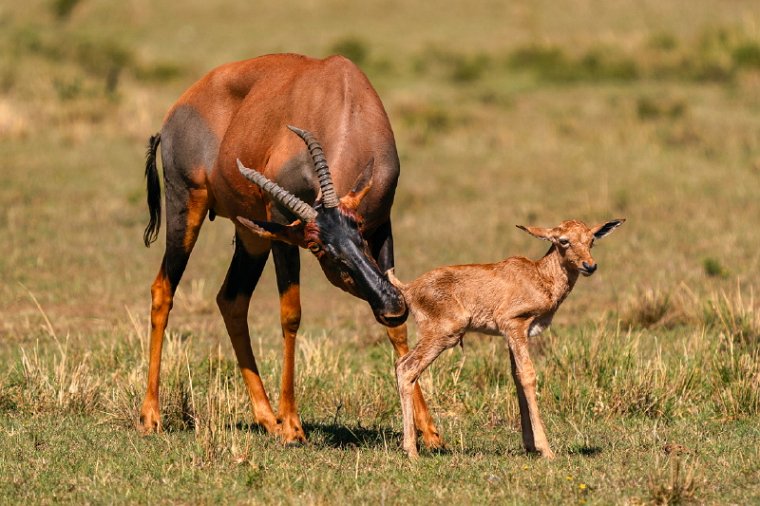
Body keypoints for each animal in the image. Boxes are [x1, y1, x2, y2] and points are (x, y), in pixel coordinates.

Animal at [140, 53, 442, 444]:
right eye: (316, 246)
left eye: (359, 229)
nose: (391, 306)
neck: (341, 95)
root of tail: (177, 111)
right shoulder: (284, 226)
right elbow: (291, 314)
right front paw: (293, 426)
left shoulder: (382, 224)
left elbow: (397, 327)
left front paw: (430, 431)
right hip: (187, 205)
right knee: (163, 289)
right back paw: (152, 416)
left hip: (252, 233)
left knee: (231, 300)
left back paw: (267, 418)